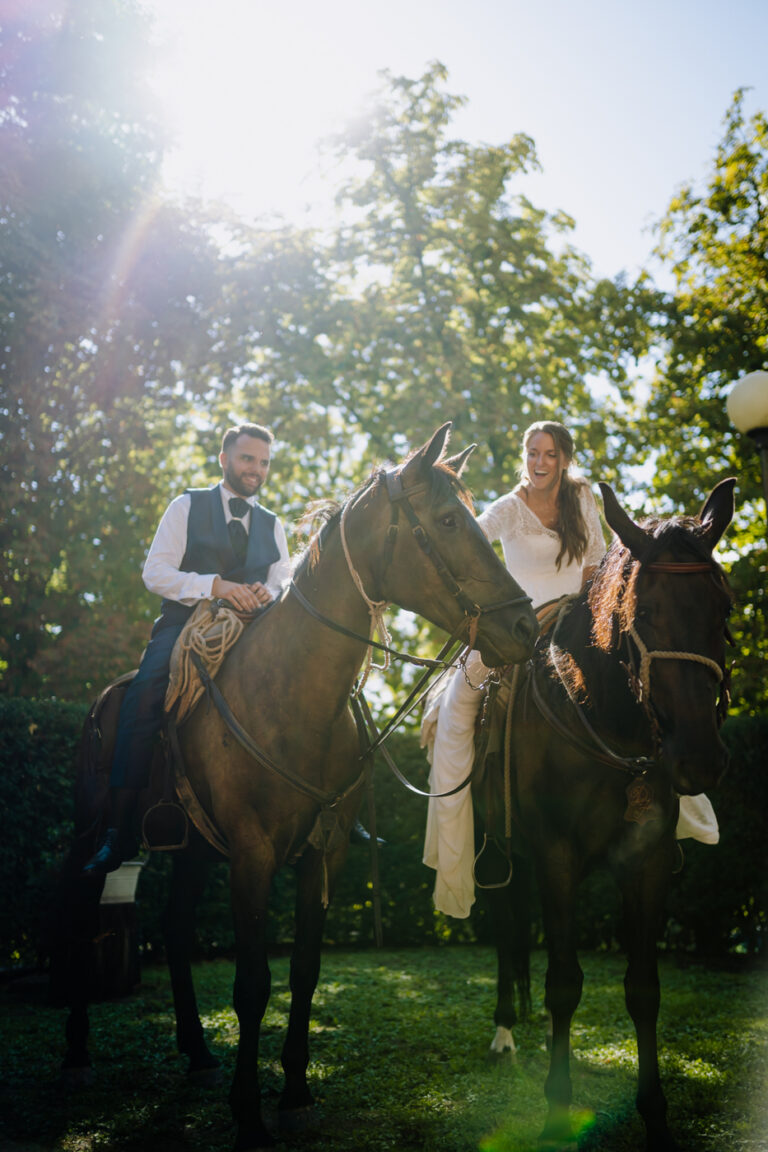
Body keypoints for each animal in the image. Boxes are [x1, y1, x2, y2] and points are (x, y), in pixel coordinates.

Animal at [49, 426, 541, 1152]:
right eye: (449, 521)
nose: (525, 629)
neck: (293, 694)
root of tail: (102, 701)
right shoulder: (253, 856)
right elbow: (253, 984)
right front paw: (249, 1111)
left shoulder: (322, 852)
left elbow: (304, 972)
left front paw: (296, 1093)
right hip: (95, 834)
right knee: (81, 913)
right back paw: (78, 1054)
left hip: (196, 849)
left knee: (174, 930)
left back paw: (197, 1054)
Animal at [472, 476, 736, 1152]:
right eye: (643, 615)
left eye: (723, 613)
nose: (700, 760)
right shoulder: (555, 857)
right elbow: (564, 983)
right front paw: (557, 1111)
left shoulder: (648, 862)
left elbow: (643, 989)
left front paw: (656, 1115)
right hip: (498, 851)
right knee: (508, 930)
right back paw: (506, 1031)